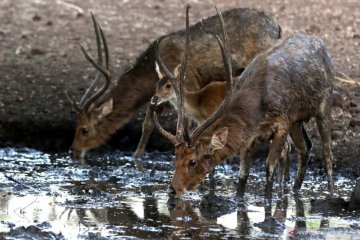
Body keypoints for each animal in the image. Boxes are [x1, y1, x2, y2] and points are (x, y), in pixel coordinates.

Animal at [66, 6, 282, 161]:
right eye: (75, 125)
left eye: (84, 129)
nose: (74, 151)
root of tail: (278, 28)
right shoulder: (162, 96)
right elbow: (148, 123)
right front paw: (137, 158)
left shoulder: (188, 85)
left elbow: (187, 123)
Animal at [151, 7, 334, 199]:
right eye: (175, 157)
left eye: (192, 161)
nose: (173, 189)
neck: (257, 108)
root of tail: (320, 43)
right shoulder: (249, 136)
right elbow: (243, 174)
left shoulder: (282, 124)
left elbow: (269, 167)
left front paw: (268, 200)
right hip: (297, 121)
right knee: (305, 148)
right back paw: (295, 191)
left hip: (325, 102)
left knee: (327, 154)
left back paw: (331, 194)